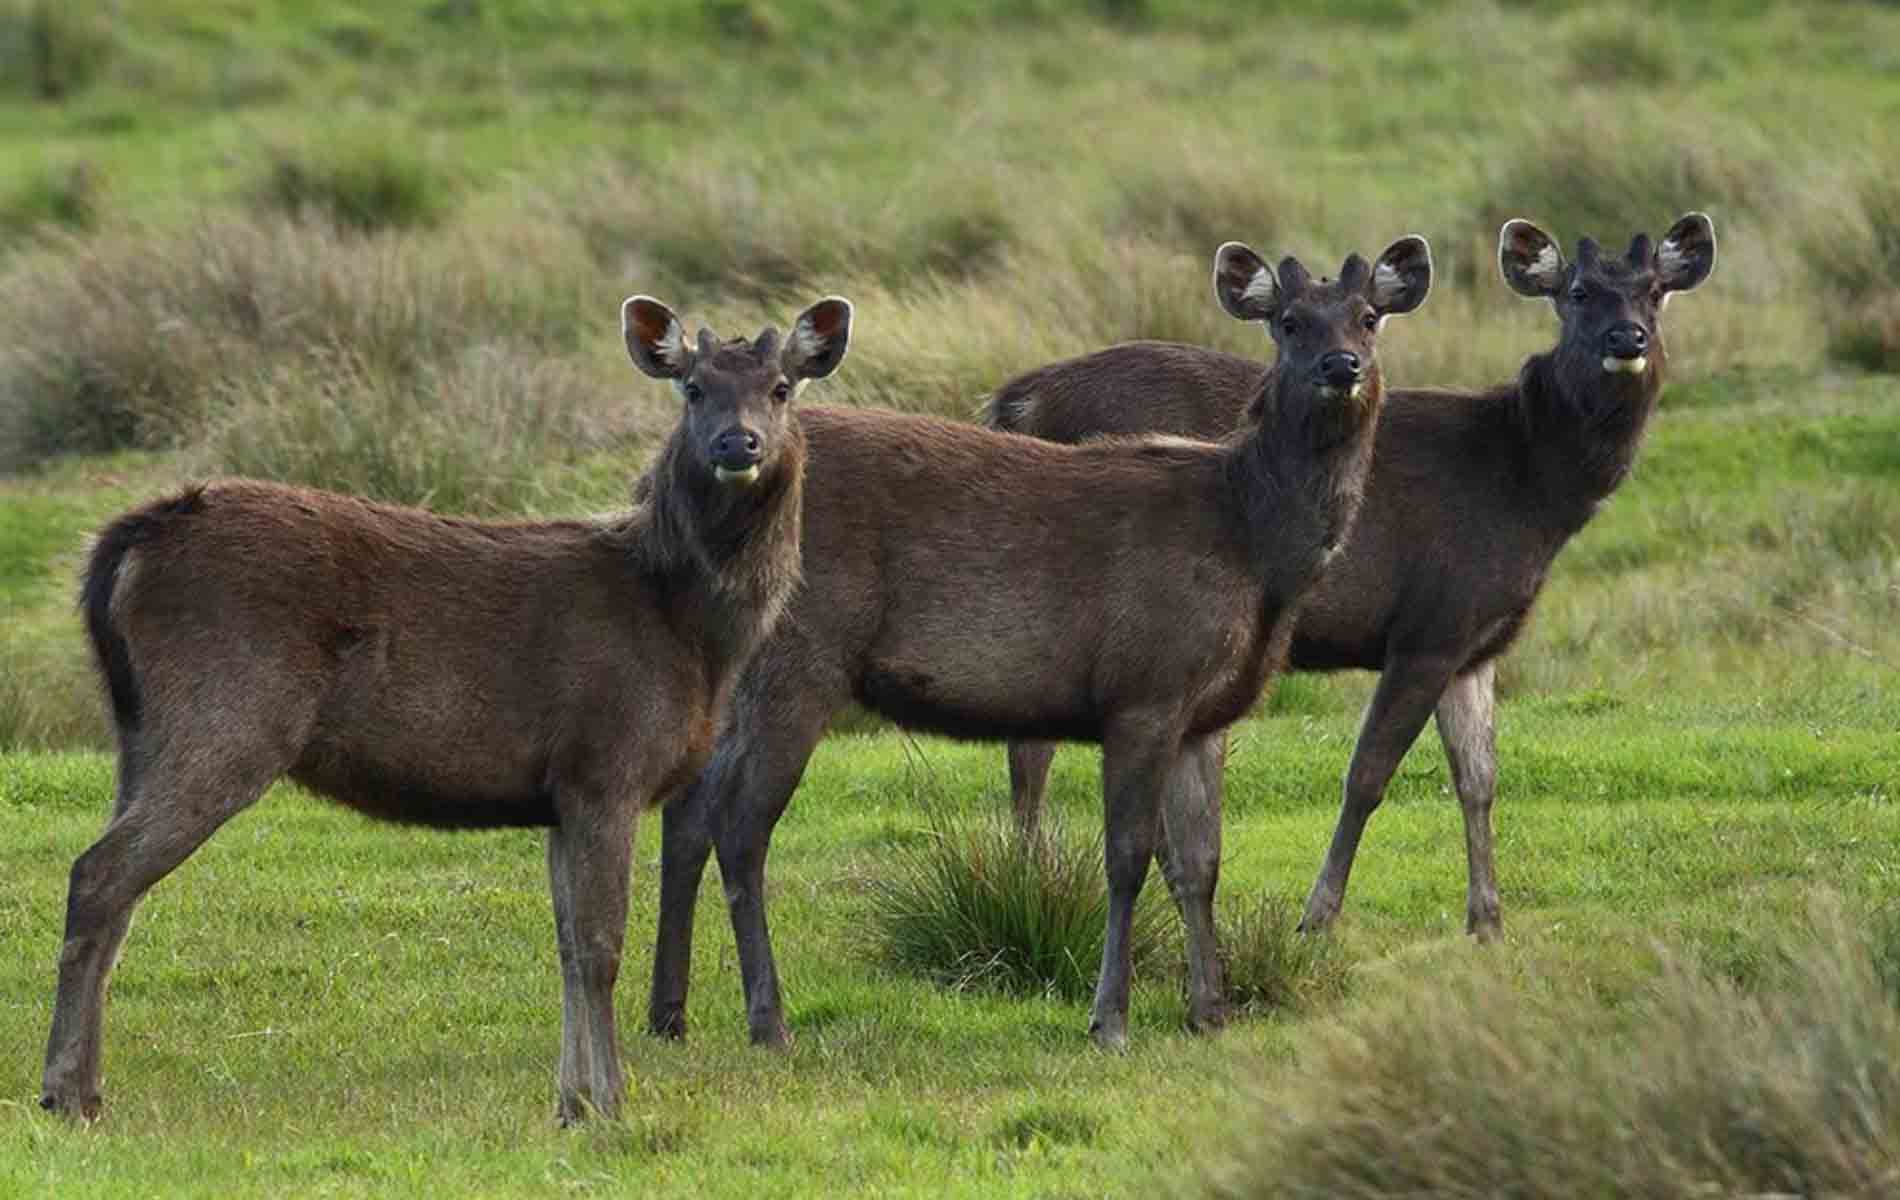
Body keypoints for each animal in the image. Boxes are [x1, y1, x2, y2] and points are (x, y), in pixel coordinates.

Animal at [38, 292, 855, 1124]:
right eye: (692, 388)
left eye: (781, 387)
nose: (737, 441)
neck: (688, 630)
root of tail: (124, 544)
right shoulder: (606, 762)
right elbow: (601, 948)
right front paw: (612, 1103)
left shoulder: (559, 794)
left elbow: (566, 947)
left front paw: (570, 1101)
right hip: (227, 715)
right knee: (98, 873)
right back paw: (65, 1092)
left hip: (142, 731)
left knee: (117, 888)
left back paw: (85, 1086)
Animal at [646, 236, 1428, 1048]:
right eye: (1289, 321)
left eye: (1369, 317)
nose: (1342, 366)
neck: (1251, 545)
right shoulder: (1143, 685)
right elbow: (1127, 858)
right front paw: (1110, 1020)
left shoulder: (1206, 711)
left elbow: (1202, 862)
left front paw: (1209, 1011)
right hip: (798, 664)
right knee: (740, 825)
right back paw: (769, 1021)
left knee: (688, 810)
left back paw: (668, 1014)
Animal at [988, 218, 1717, 945]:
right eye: (1578, 291)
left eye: (1654, 291)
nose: (1628, 339)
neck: (1527, 491)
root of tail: (1016, 401)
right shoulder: (1430, 622)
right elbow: (1367, 774)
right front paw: (1316, 918)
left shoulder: (1475, 642)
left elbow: (1479, 777)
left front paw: (1487, 923)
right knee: (1035, 752)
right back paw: (1040, 885)